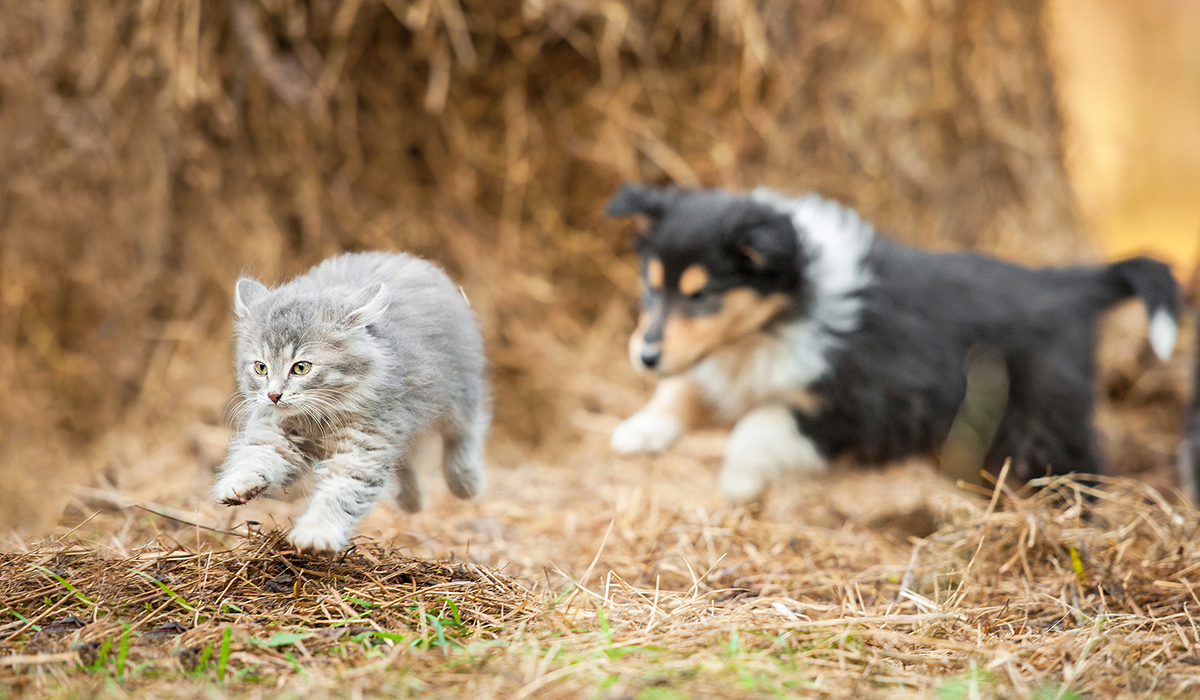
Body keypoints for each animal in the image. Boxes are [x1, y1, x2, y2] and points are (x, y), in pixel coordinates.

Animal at [213, 252, 489, 552]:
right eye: (260, 368)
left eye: (301, 368)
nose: (273, 395)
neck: (319, 417)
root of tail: (403, 257)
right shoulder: (277, 434)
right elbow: (256, 456)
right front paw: (238, 483)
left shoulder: (363, 446)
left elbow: (339, 492)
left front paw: (316, 533)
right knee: (403, 459)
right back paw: (410, 500)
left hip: (458, 394)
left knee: (465, 432)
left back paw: (466, 482)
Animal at [609, 183, 1180, 504]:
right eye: (650, 287)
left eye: (701, 296)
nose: (644, 356)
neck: (777, 320)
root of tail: (1066, 285)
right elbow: (686, 389)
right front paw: (639, 430)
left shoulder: (856, 402)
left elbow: (757, 427)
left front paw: (738, 483)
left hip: (1045, 417)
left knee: (1082, 465)